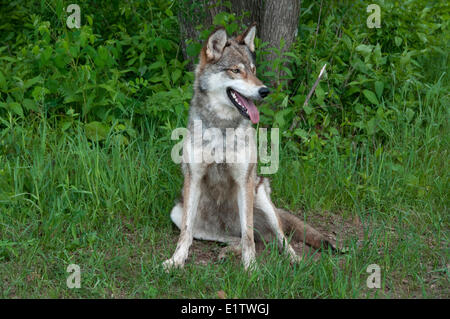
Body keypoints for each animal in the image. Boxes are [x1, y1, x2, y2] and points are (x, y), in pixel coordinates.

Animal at [163, 23, 334, 272]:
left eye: (253, 70)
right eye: (236, 70)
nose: (264, 91)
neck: (222, 129)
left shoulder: (244, 180)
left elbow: (249, 237)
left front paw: (251, 269)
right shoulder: (192, 179)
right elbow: (185, 235)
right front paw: (176, 261)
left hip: (261, 194)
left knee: (276, 238)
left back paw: (294, 260)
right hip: (178, 212)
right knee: (235, 237)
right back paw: (227, 251)